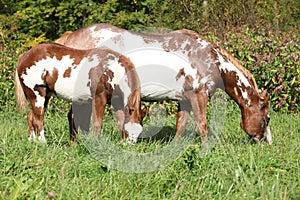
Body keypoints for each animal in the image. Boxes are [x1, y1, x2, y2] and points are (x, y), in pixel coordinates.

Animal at [55, 23, 272, 144]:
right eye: (267, 118)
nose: (267, 143)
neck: (209, 59)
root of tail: (72, 36)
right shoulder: (198, 96)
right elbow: (202, 125)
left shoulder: (185, 100)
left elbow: (181, 126)